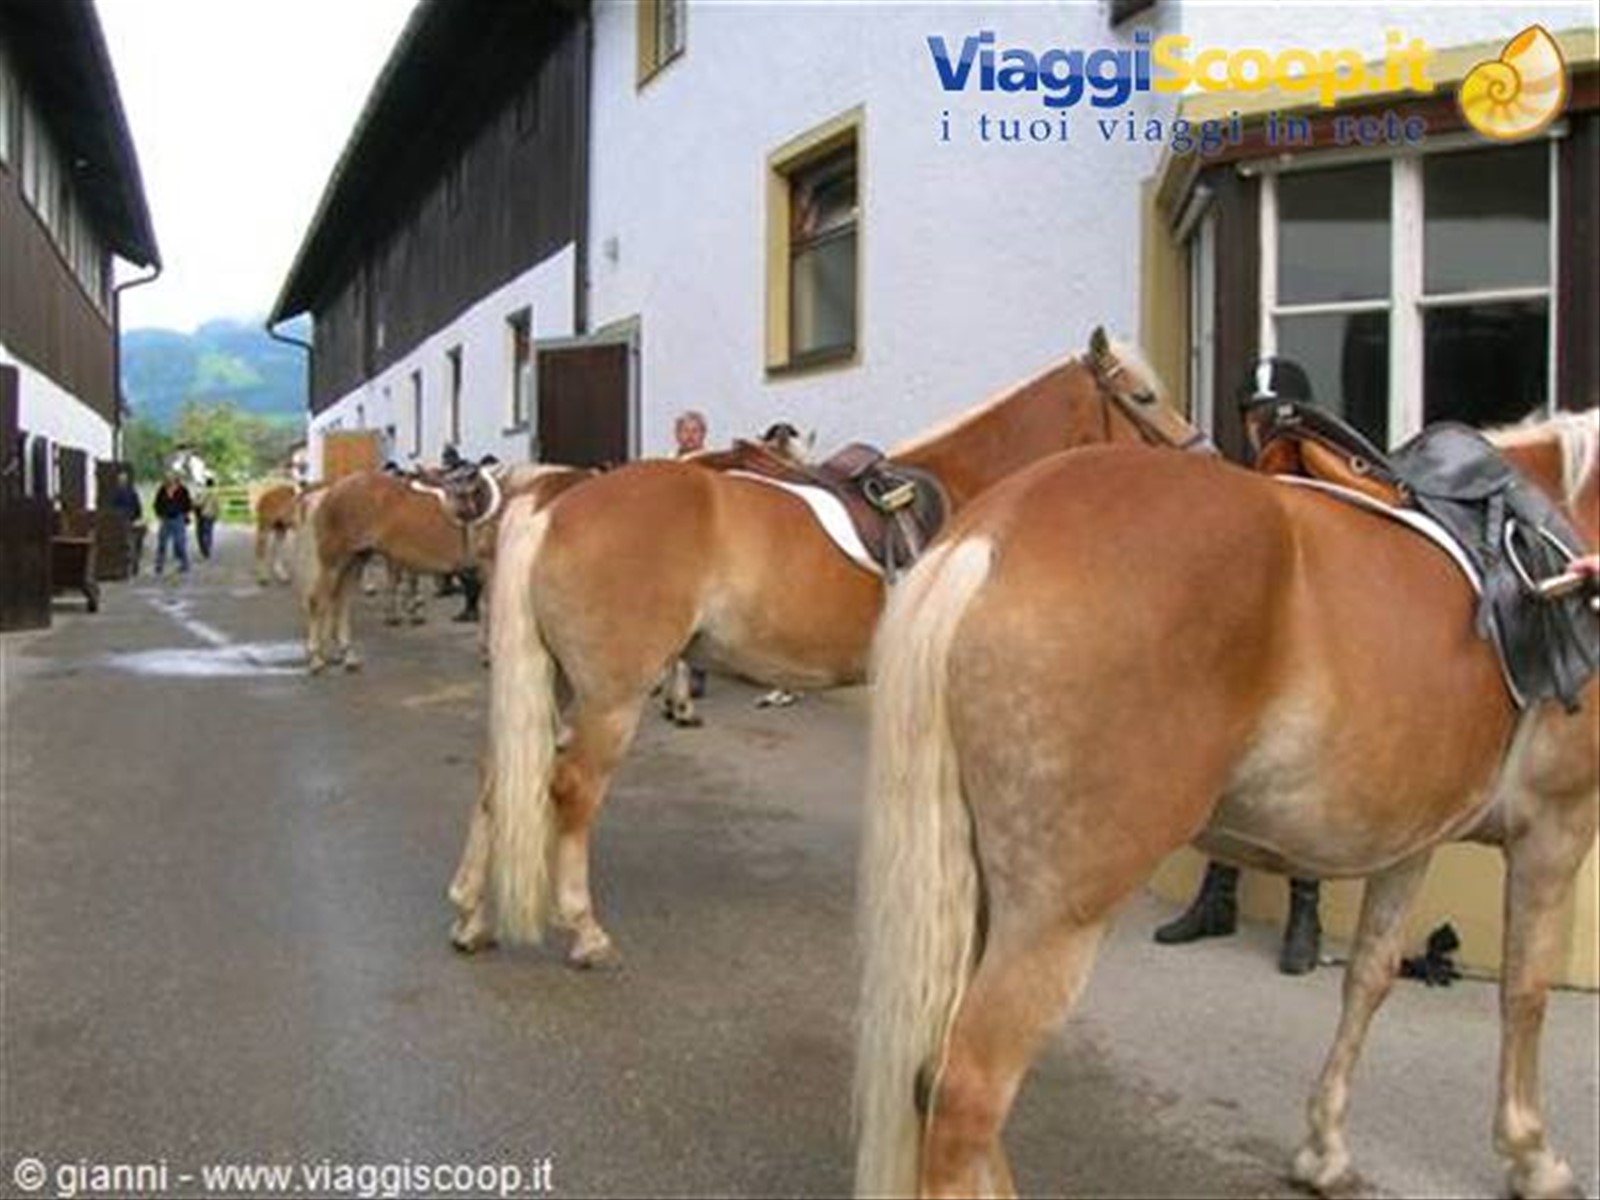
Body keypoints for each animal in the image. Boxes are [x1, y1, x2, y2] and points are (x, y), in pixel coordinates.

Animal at [297, 463, 590, 673]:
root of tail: (331, 490)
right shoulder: (491, 568)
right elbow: (490, 611)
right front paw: (489, 655)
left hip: (356, 558)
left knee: (341, 601)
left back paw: (347, 655)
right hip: (335, 559)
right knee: (318, 601)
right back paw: (316, 658)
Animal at [448, 330, 1201, 960]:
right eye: (1143, 396)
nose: (1208, 456)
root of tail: (557, 503)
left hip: (557, 681)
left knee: (495, 775)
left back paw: (471, 915)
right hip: (611, 694)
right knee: (572, 789)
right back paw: (584, 930)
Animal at [853, 405, 1599, 1199]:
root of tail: (991, 535)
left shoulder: (1414, 838)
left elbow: (1369, 976)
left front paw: (1325, 1150)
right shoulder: (1557, 826)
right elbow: (1525, 989)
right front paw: (1531, 1156)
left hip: (987, 893)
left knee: (933, 1077)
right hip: (1056, 914)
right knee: (967, 1092)